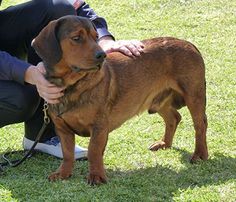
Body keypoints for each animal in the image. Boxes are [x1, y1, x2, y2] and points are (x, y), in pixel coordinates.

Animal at [31, 15, 208, 185]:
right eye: (76, 38)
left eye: (96, 37)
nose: (101, 55)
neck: (72, 86)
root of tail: (189, 44)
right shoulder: (63, 129)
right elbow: (68, 154)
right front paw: (63, 174)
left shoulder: (99, 127)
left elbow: (94, 151)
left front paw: (96, 176)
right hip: (159, 101)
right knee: (174, 118)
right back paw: (165, 144)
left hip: (194, 96)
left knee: (200, 125)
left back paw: (199, 155)